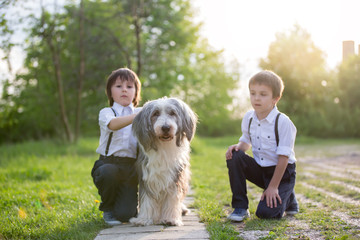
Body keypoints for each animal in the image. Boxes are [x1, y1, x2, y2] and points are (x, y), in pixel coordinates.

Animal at [129, 97, 197, 227]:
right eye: (155, 114)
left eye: (172, 113)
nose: (165, 128)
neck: (164, 146)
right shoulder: (147, 174)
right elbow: (147, 198)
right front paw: (144, 219)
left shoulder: (176, 175)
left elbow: (172, 198)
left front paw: (171, 219)